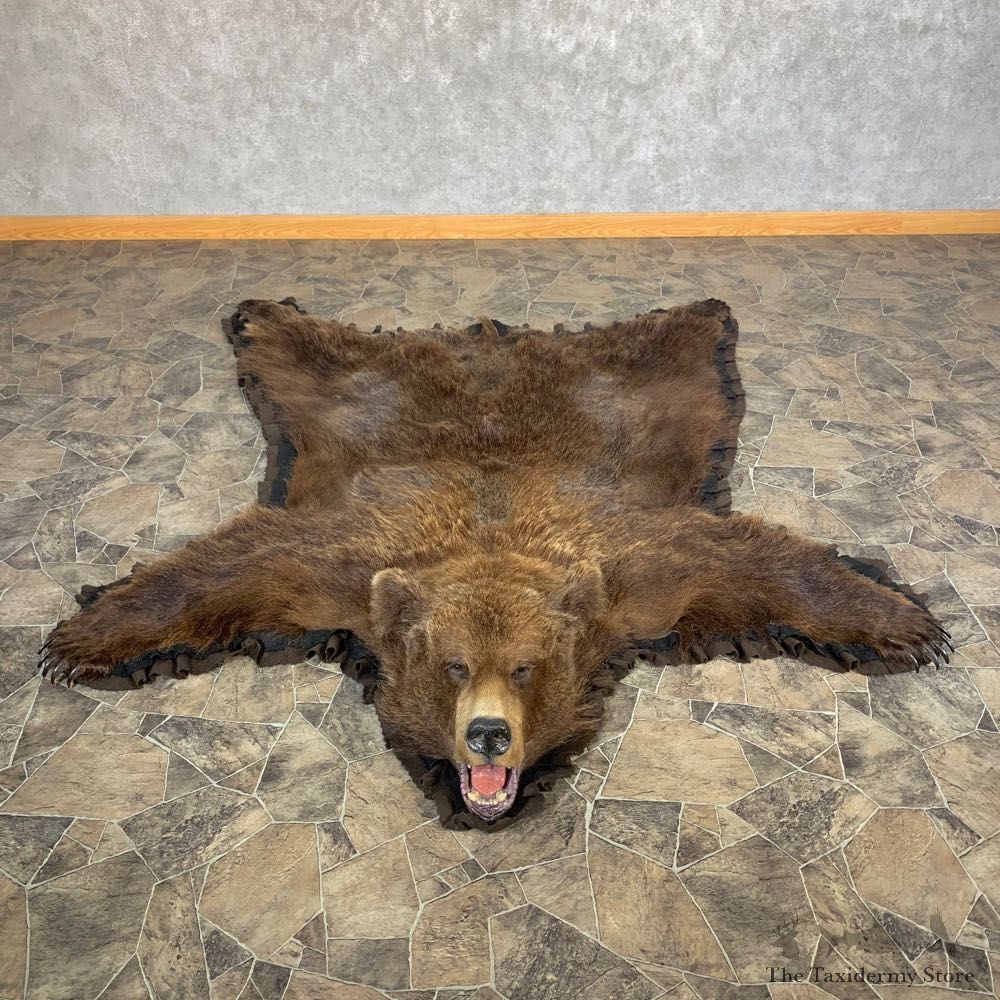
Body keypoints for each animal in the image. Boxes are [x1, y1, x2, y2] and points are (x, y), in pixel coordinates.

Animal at [40, 298, 951, 825]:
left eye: (524, 666)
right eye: (450, 666)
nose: (486, 735)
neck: (488, 547)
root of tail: (487, 340)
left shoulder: (638, 569)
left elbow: (751, 559)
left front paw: (900, 619)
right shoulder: (341, 565)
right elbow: (234, 563)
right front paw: (86, 636)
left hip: (641, 382)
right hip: (344, 387)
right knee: (311, 347)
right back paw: (264, 314)